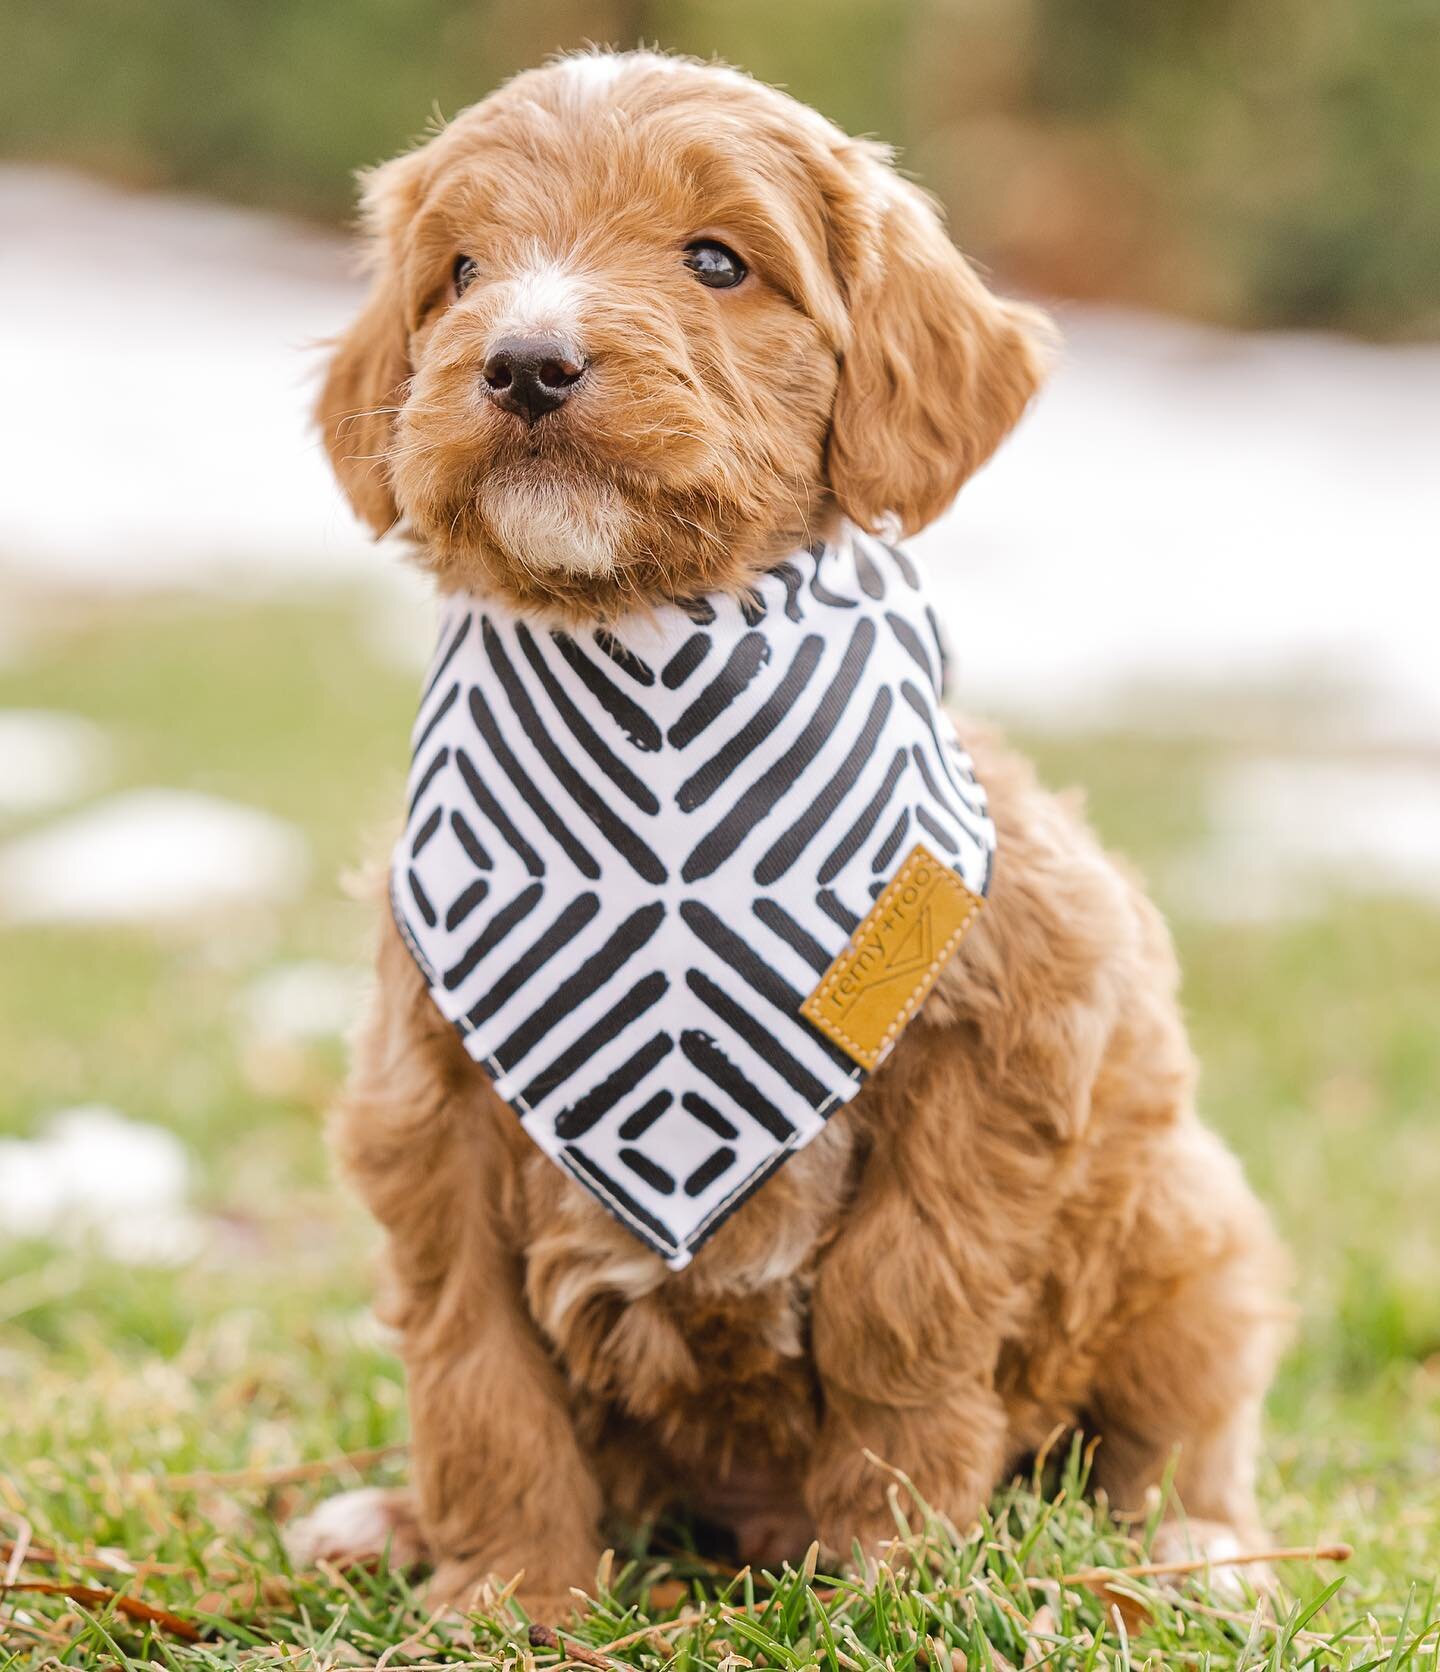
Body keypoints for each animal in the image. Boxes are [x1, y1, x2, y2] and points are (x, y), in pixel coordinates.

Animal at [297, 52, 1284, 1611]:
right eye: (458, 274)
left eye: (718, 261)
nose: (523, 361)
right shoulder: (429, 1100)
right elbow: (475, 1364)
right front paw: (509, 1590)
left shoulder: (1017, 1026)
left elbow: (900, 1300)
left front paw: (892, 1558)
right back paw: (386, 1520)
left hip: (1197, 1234)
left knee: (1179, 1430)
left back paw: (1204, 1553)